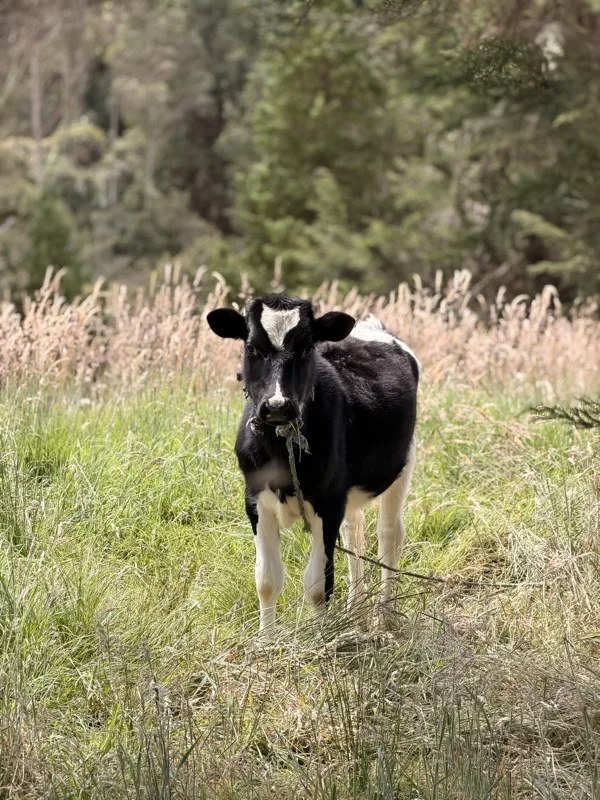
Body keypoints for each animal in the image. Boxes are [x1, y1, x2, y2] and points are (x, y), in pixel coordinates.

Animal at [207, 295, 419, 631]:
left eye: (307, 349)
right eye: (251, 347)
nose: (277, 406)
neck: (282, 449)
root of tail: (372, 326)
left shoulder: (328, 502)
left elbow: (318, 586)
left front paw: (321, 638)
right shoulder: (255, 499)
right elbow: (267, 580)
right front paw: (265, 640)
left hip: (403, 464)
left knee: (389, 535)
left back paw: (383, 617)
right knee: (355, 534)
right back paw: (356, 611)